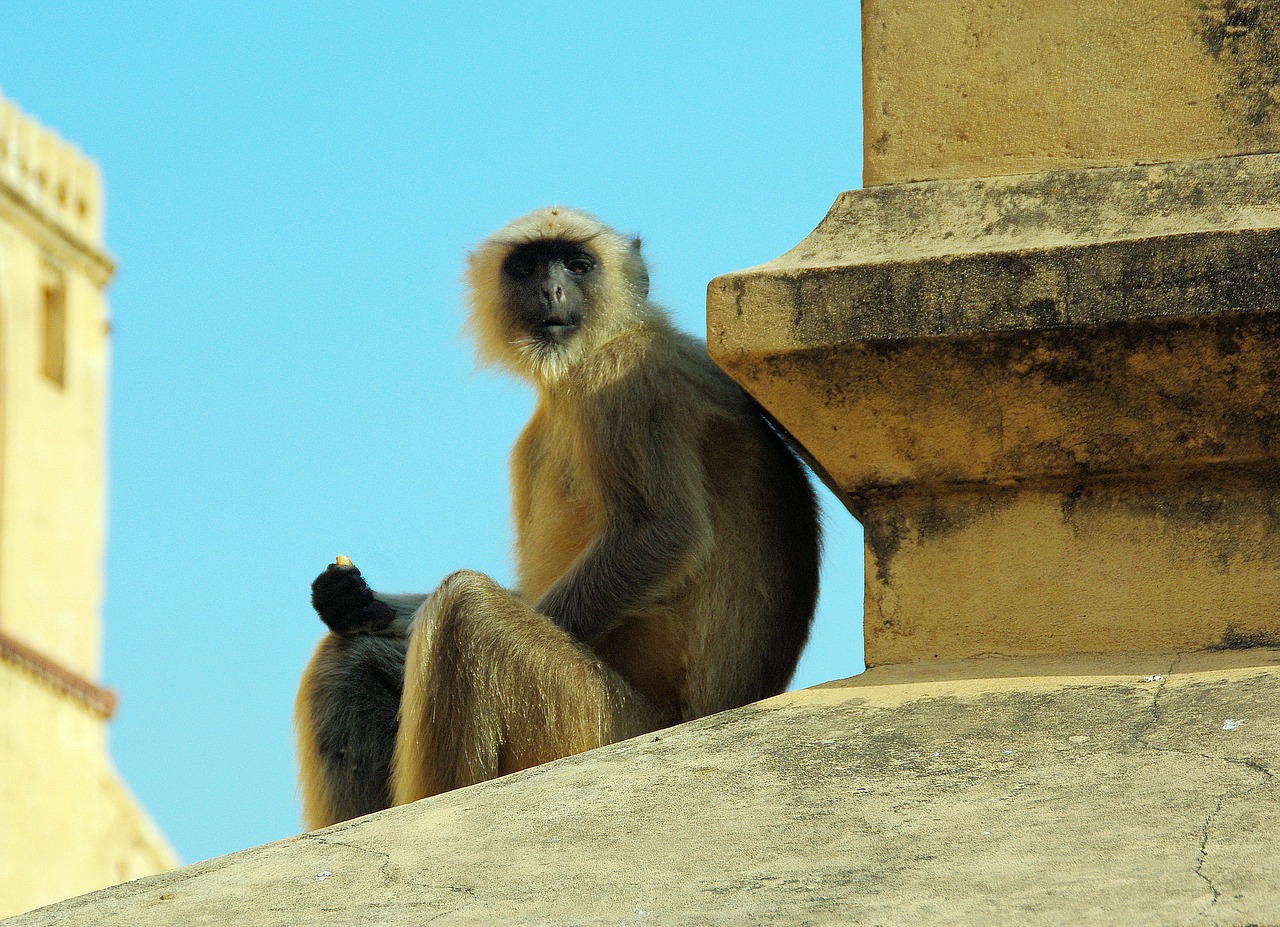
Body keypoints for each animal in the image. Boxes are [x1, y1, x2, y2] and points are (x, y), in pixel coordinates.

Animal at [294, 206, 819, 829]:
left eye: (577, 264)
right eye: (526, 267)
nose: (551, 290)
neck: (597, 347)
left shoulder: (626, 376)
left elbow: (662, 535)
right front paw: (353, 599)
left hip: (598, 721)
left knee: (467, 611)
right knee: (350, 655)